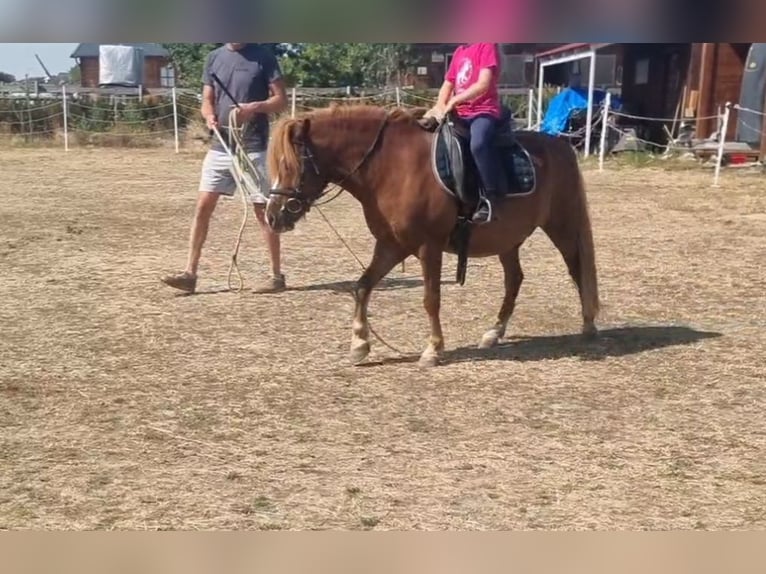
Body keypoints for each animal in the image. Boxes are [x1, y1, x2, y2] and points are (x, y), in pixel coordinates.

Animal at [264, 104, 600, 368]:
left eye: (289, 165)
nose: (272, 215)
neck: (391, 167)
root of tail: (561, 147)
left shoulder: (429, 247)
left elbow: (430, 299)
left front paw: (433, 349)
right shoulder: (391, 245)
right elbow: (362, 286)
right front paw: (359, 344)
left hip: (562, 226)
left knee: (577, 268)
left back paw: (588, 324)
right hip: (507, 239)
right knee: (514, 279)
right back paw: (494, 333)